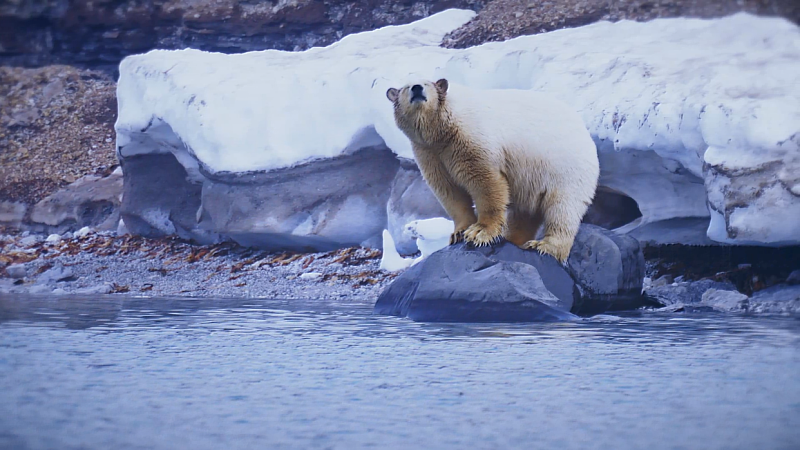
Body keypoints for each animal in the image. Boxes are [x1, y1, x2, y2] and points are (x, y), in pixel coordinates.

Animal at [384, 78, 596, 262]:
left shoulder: (469, 139)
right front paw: (458, 232)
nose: (417, 88)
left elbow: (485, 182)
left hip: (566, 171)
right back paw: (514, 239)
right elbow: (448, 190)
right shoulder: (429, 153)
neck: (442, 128)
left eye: (426, 83)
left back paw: (544, 246)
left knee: (563, 209)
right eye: (406, 87)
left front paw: (479, 232)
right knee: (524, 213)